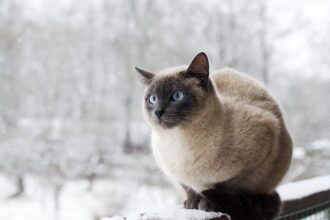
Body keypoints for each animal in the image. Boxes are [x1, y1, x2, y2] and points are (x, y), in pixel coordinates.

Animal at [135, 52, 292, 219]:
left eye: (177, 96)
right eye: (152, 99)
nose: (158, 112)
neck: (178, 141)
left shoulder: (257, 153)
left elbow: (224, 187)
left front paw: (208, 204)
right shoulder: (174, 174)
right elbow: (188, 188)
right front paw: (192, 204)